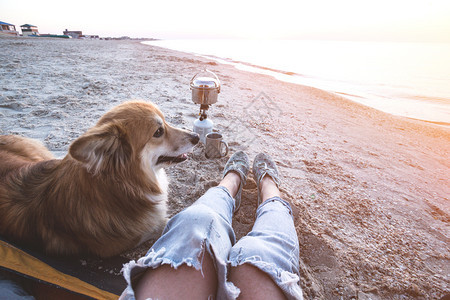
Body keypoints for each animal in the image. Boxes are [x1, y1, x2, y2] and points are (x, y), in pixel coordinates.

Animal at [0, 101, 199, 258]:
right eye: (158, 132)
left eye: (165, 121)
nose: (196, 137)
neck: (123, 186)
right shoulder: (124, 241)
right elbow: (168, 224)